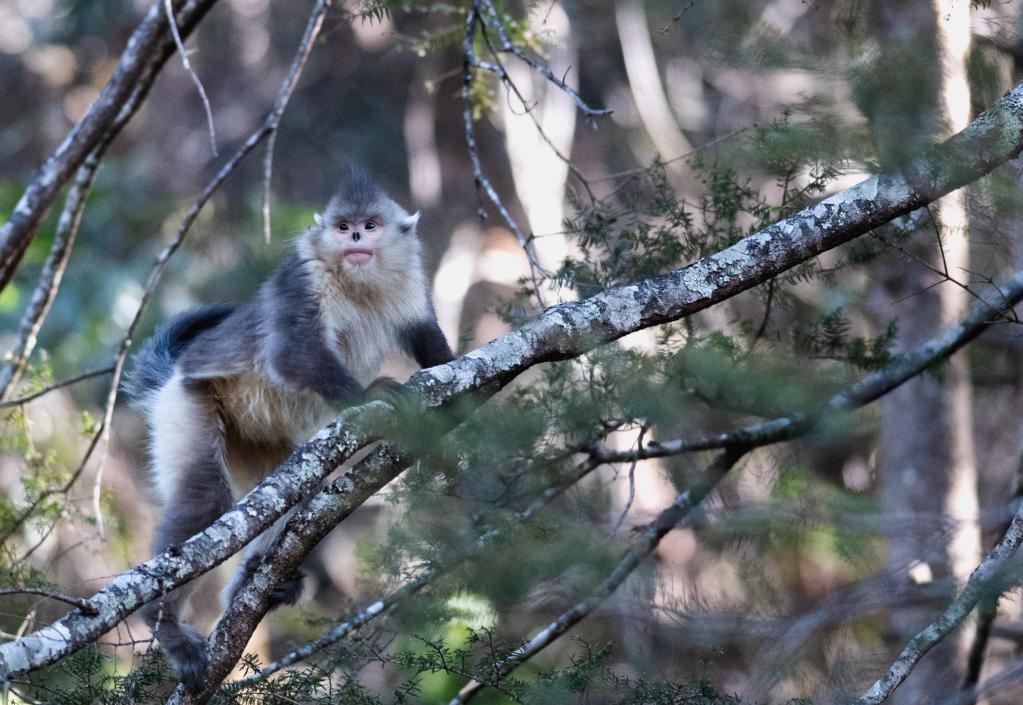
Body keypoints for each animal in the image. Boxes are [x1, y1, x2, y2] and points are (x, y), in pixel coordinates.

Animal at [122, 166, 452, 691]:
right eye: (342, 227)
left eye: (370, 225)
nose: (355, 238)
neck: (356, 284)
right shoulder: (305, 280)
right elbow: (291, 353)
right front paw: (372, 397)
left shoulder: (409, 279)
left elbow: (427, 338)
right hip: (186, 405)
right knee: (206, 498)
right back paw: (166, 625)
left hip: (256, 441)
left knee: (287, 494)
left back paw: (255, 581)